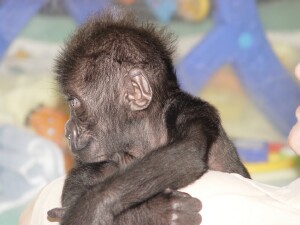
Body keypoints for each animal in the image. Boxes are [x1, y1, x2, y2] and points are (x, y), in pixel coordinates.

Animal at [49, 10, 251, 225]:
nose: (67, 129)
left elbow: (187, 151)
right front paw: (156, 212)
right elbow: (77, 183)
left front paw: (91, 206)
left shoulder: (189, 110)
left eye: (74, 103)